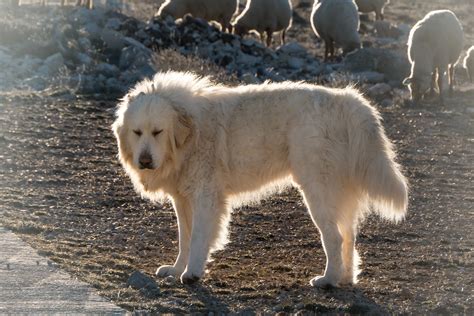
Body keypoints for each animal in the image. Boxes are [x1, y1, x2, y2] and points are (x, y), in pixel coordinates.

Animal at [113, 71, 410, 286]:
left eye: (158, 132)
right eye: (137, 132)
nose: (145, 161)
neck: (191, 134)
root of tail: (346, 99)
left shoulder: (206, 197)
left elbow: (198, 237)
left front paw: (193, 273)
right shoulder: (183, 199)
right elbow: (184, 238)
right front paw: (176, 269)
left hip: (317, 190)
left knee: (334, 237)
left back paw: (327, 280)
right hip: (339, 194)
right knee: (349, 236)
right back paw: (345, 279)